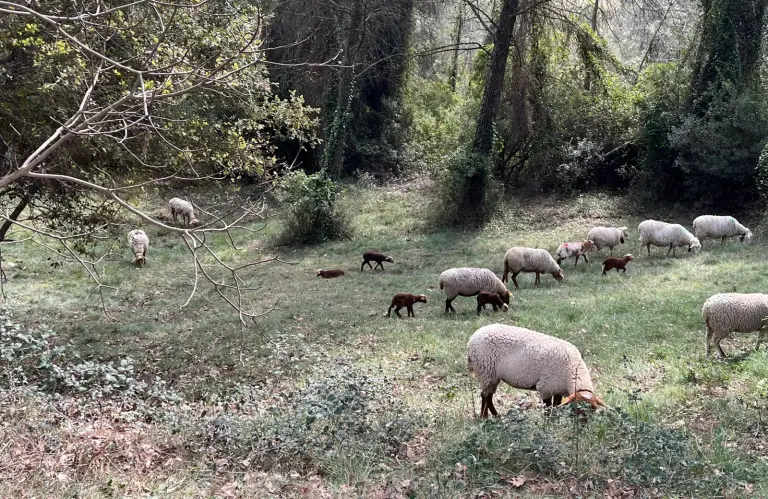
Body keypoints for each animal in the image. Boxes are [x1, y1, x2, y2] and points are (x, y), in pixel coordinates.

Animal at [467, 324, 605, 417]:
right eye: (577, 409)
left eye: (593, 410)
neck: (572, 371)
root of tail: (472, 338)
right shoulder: (546, 388)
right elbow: (548, 408)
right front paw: (549, 422)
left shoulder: (557, 388)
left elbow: (556, 405)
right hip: (486, 372)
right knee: (485, 395)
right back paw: (487, 417)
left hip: (491, 376)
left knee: (488, 396)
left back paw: (492, 416)